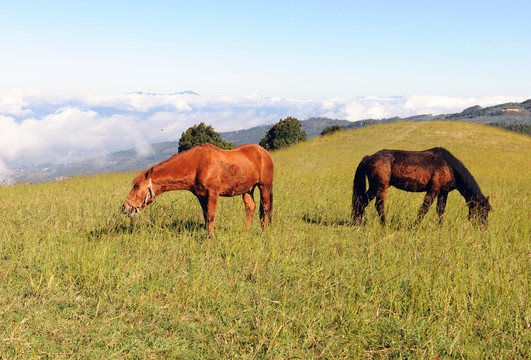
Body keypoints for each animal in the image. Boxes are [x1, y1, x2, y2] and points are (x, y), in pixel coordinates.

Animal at [122, 145, 274, 235]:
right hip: (247, 189)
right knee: (251, 207)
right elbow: (206, 217)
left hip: (264, 186)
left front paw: (209, 240)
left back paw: (264, 233)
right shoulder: (201, 196)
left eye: (137, 186)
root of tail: (263, 151)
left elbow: (211, 216)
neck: (197, 165)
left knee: (266, 209)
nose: (124, 207)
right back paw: (245, 232)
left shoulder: (213, 193)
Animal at [352, 146, 492, 225]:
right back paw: (384, 224)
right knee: (379, 205)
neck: (449, 166)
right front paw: (415, 226)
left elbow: (440, 210)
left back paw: (358, 222)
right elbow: (424, 209)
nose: (484, 228)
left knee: (361, 202)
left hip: (373, 188)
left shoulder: (443, 193)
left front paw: (440, 227)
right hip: (381, 187)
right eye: (483, 211)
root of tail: (369, 157)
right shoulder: (433, 190)